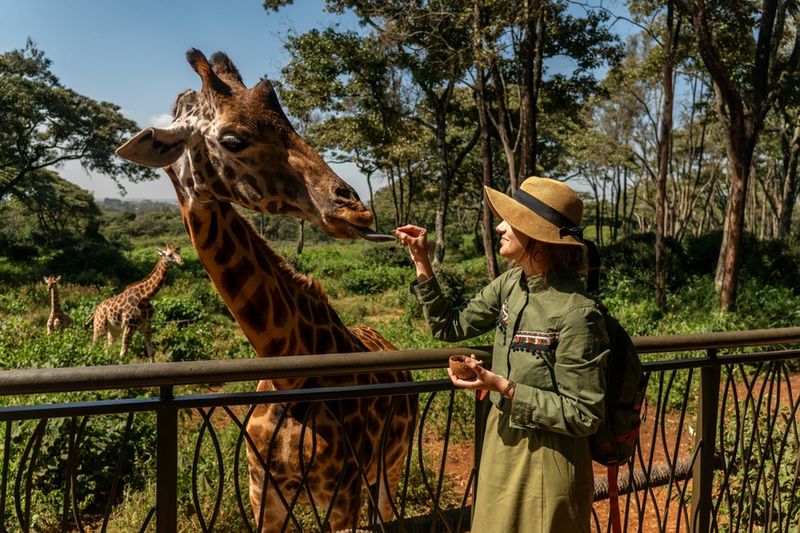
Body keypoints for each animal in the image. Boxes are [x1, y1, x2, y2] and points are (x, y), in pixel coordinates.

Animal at [116, 50, 416, 532]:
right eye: (233, 140)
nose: (355, 208)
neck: (288, 374)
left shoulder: (342, 496)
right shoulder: (263, 494)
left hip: (391, 463)